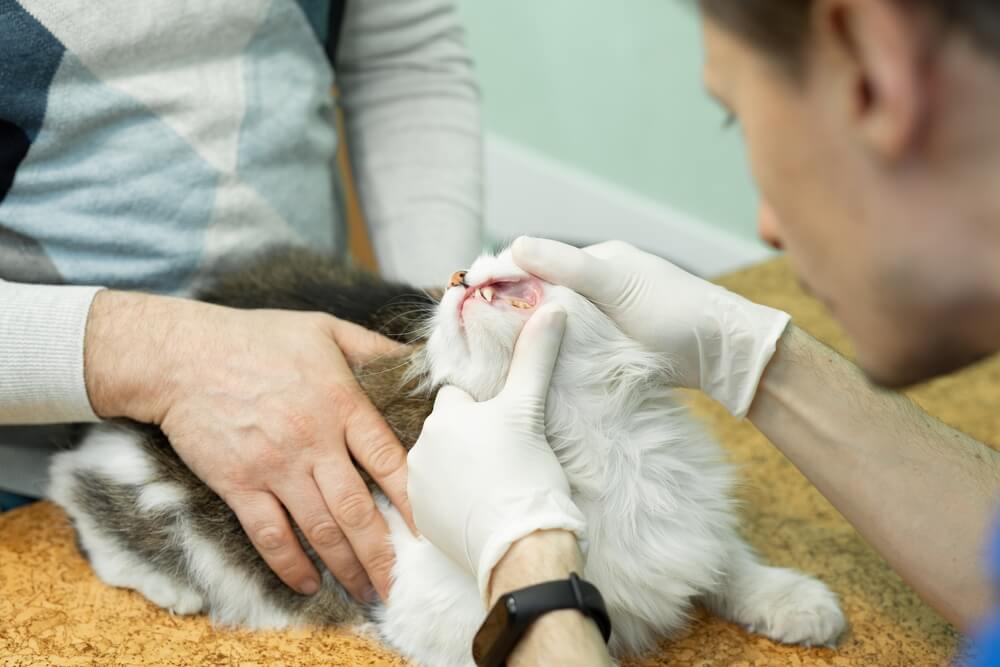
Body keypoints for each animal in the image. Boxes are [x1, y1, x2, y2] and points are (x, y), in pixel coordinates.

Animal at [47, 247, 844, 667]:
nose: (464, 274)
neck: (595, 442)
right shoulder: (433, 610)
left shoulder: (684, 513)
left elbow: (730, 560)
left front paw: (800, 603)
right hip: (167, 504)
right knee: (77, 495)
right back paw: (171, 588)